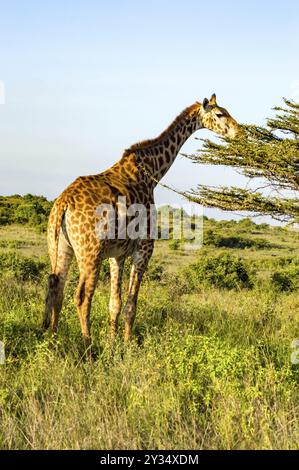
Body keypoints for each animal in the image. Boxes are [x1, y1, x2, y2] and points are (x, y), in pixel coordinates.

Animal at [43, 93, 239, 348]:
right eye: (219, 114)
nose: (239, 131)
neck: (152, 171)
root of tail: (63, 204)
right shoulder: (144, 249)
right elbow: (131, 305)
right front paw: (127, 346)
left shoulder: (117, 255)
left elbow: (114, 304)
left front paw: (113, 343)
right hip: (90, 251)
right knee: (82, 296)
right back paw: (88, 345)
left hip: (60, 246)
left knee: (56, 286)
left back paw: (53, 340)